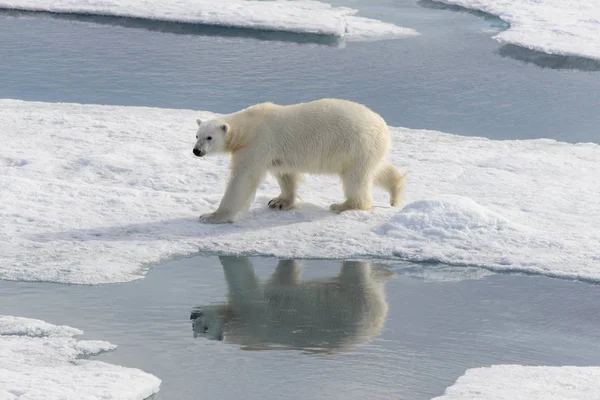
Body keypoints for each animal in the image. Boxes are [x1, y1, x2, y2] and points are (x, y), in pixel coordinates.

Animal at [189, 256, 394, 354]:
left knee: (356, 274)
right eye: (196, 330)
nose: (193, 316)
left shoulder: (254, 314)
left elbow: (242, 280)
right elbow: (285, 275)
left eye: (205, 328)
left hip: (354, 303)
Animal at [192, 97, 404, 222]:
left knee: (355, 178)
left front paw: (211, 215)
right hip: (366, 150)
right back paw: (396, 192)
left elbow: (243, 179)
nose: (196, 151)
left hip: (356, 145)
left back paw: (343, 205)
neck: (248, 127)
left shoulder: (257, 144)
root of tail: (383, 126)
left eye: (209, 137)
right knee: (375, 171)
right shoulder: (277, 153)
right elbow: (286, 174)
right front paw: (279, 202)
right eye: (197, 135)